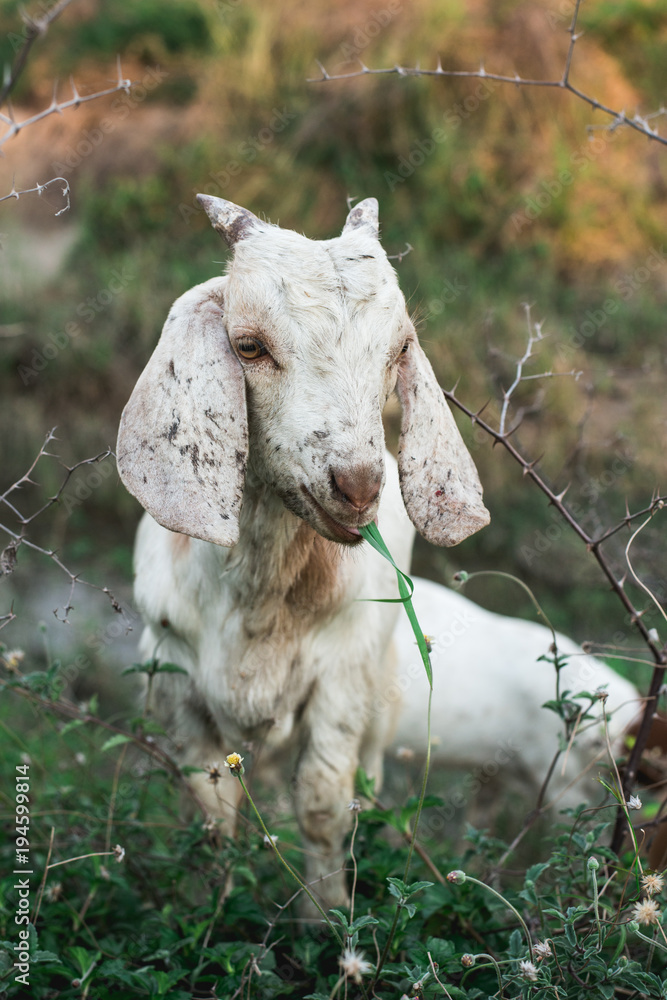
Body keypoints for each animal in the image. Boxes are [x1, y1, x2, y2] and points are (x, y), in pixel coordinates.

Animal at [116, 196, 490, 911]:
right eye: (249, 345)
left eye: (400, 348)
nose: (359, 486)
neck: (262, 598)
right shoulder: (173, 676)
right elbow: (212, 808)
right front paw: (213, 908)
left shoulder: (341, 677)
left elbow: (321, 805)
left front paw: (331, 920)